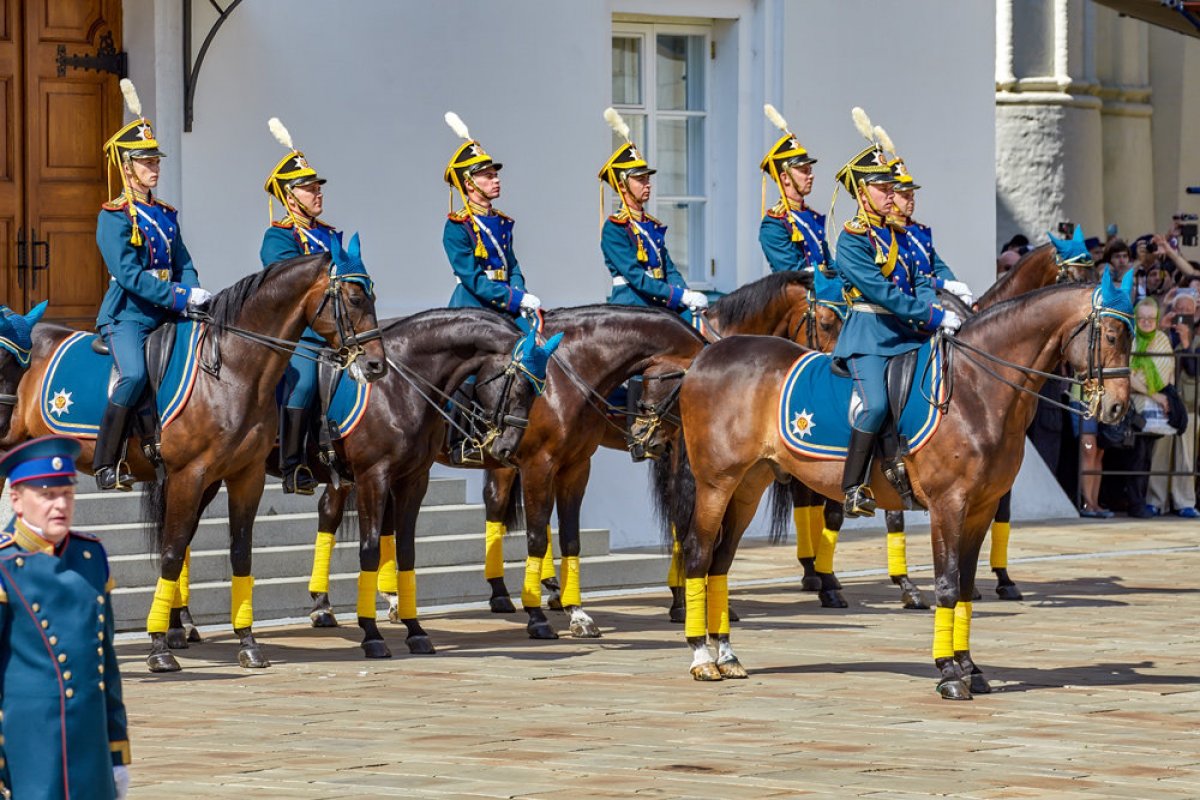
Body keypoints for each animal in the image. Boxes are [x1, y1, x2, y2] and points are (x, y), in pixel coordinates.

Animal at [0, 247, 384, 671]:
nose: (376, 365)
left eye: (372, 297)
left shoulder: (244, 476)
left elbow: (239, 554)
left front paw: (247, 641)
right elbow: (171, 552)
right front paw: (158, 647)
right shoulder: (189, 474)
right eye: (354, 299)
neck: (231, 371)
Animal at [662, 277, 1128, 700]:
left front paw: (969, 667)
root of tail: (706, 355)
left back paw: (726, 654)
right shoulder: (948, 505)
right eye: (1110, 334)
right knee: (699, 554)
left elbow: (963, 587)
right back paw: (701, 656)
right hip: (716, 483)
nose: (1118, 408)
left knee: (721, 562)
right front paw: (948, 672)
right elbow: (946, 584)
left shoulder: (980, 507)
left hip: (748, 484)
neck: (975, 389)